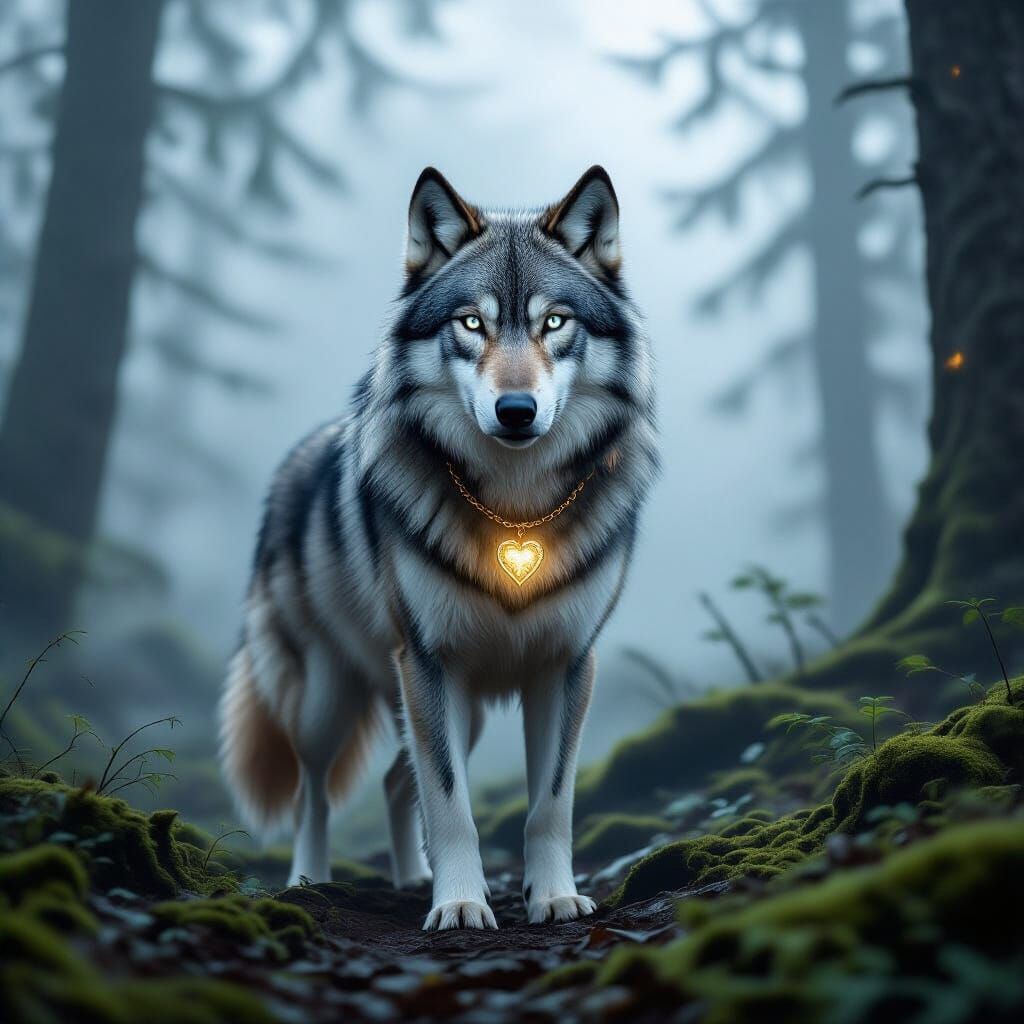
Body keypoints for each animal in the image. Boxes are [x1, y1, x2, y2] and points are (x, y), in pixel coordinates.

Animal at [219, 165, 659, 930]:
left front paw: (552, 896)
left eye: (554, 322)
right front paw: (458, 903)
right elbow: (451, 802)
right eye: (471, 323)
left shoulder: (566, 665)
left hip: (464, 708)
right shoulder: (427, 660)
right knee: (315, 790)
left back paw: (408, 877)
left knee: (399, 782)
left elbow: (549, 803)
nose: (516, 411)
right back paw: (308, 881)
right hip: (331, 697)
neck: (515, 510)